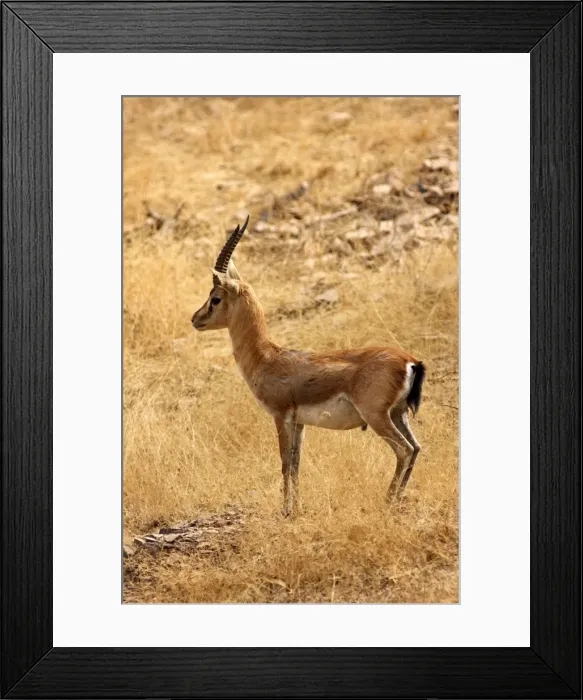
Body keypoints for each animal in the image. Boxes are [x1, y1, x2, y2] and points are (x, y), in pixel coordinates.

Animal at [191, 216, 425, 516]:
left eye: (216, 298)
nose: (195, 319)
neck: (266, 358)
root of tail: (409, 361)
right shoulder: (300, 423)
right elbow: (296, 464)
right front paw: (297, 508)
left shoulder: (280, 416)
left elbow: (284, 463)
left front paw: (286, 511)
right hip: (398, 414)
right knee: (416, 448)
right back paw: (396, 501)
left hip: (377, 417)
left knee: (404, 450)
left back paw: (387, 503)